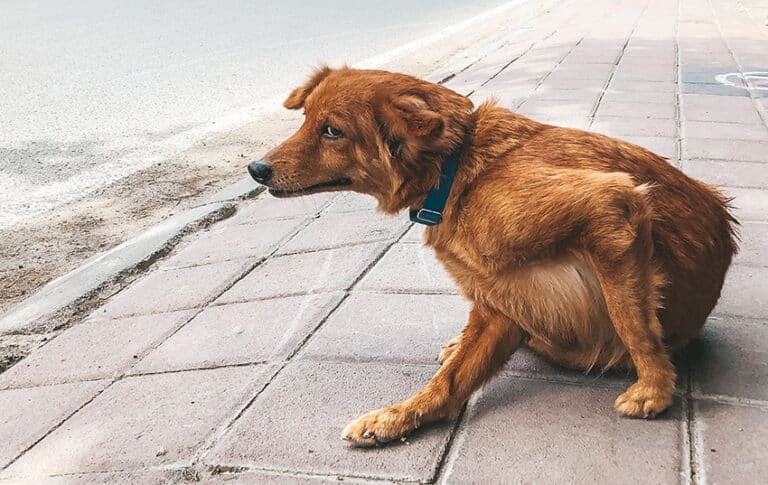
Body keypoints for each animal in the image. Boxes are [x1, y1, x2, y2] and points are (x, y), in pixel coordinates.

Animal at [248, 65, 736, 446]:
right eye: (305, 120)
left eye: (332, 131)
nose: (255, 169)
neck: (455, 170)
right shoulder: (501, 301)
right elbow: (450, 382)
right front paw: (399, 416)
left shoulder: (613, 208)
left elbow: (632, 321)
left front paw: (653, 388)